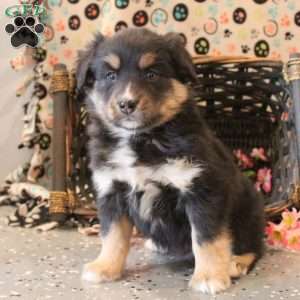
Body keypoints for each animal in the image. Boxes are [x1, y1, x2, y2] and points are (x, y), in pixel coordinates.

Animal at [77, 28, 264, 296]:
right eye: (110, 75)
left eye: (152, 74)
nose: (126, 104)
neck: (142, 139)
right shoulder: (111, 190)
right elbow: (112, 235)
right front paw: (104, 267)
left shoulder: (202, 189)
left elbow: (207, 238)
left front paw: (209, 277)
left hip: (248, 212)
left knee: (254, 246)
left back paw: (235, 263)